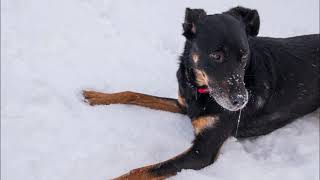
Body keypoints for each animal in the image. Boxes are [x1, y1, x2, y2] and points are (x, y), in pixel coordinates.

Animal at [83, 6, 320, 179]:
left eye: (244, 55)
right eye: (216, 55)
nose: (241, 101)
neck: (200, 89)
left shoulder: (201, 153)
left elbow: (141, 170)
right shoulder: (184, 104)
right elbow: (134, 94)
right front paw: (97, 96)